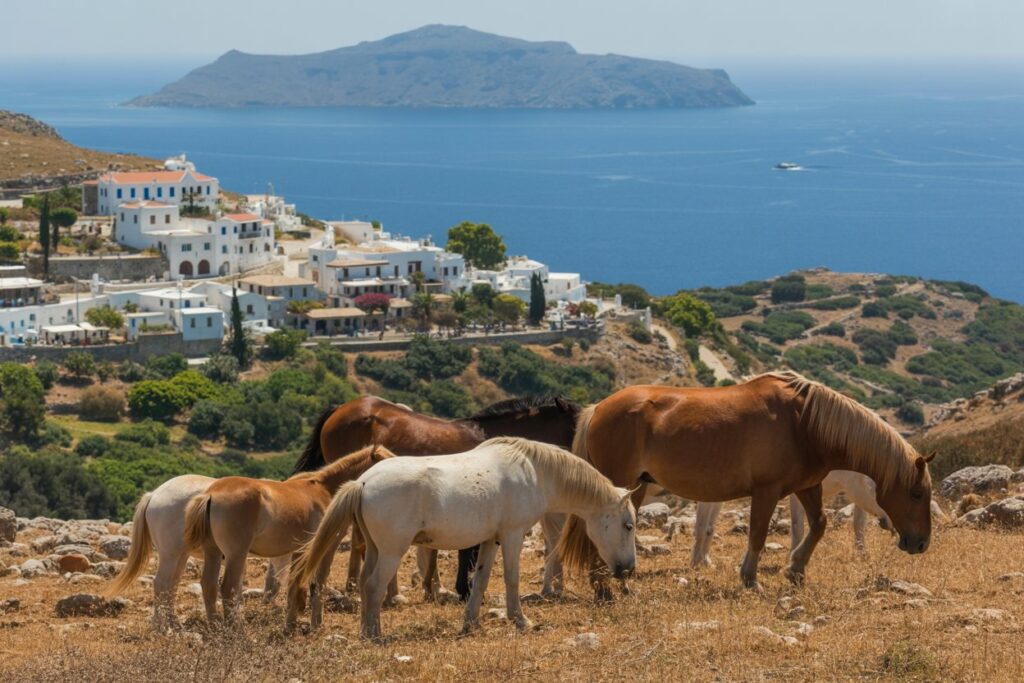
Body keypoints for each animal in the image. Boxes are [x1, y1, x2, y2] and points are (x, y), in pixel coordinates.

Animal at [107, 475, 292, 631]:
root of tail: (154, 495)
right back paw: (162, 627)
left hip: (181, 555)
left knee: (171, 585)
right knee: (161, 583)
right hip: (170, 554)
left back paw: (174, 624)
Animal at [181, 444, 393, 630]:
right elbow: (318, 582)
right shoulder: (325, 549)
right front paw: (315, 624)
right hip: (236, 555)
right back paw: (235, 630)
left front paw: (291, 623)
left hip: (214, 552)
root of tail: (210, 494)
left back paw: (215, 627)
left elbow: (294, 585)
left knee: (209, 586)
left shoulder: (299, 552)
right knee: (227, 588)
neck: (325, 489)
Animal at [289, 437, 637, 640]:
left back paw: (368, 630)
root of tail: (361, 483)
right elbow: (511, 579)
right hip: (391, 551)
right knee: (374, 586)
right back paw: (375, 635)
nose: (628, 570)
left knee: (364, 584)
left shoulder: (490, 540)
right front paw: (521, 621)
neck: (534, 470)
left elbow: (480, 580)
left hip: (375, 549)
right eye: (629, 525)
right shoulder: (512, 536)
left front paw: (471, 624)